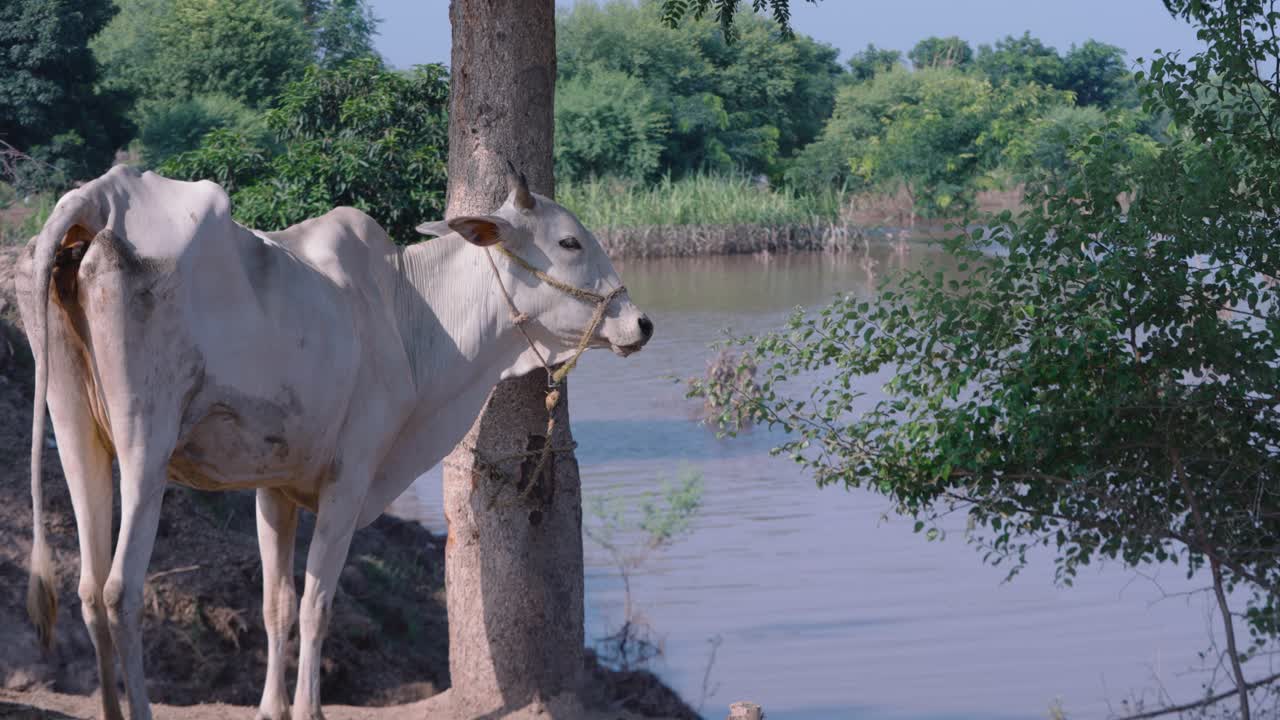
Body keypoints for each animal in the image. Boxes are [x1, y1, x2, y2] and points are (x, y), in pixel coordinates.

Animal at [14, 163, 653, 720]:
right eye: (569, 242)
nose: (641, 323)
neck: (412, 314)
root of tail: (100, 199)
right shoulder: (350, 480)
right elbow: (317, 605)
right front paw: (309, 708)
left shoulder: (273, 487)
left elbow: (277, 605)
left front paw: (271, 709)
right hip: (145, 448)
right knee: (120, 590)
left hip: (76, 433)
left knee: (88, 588)